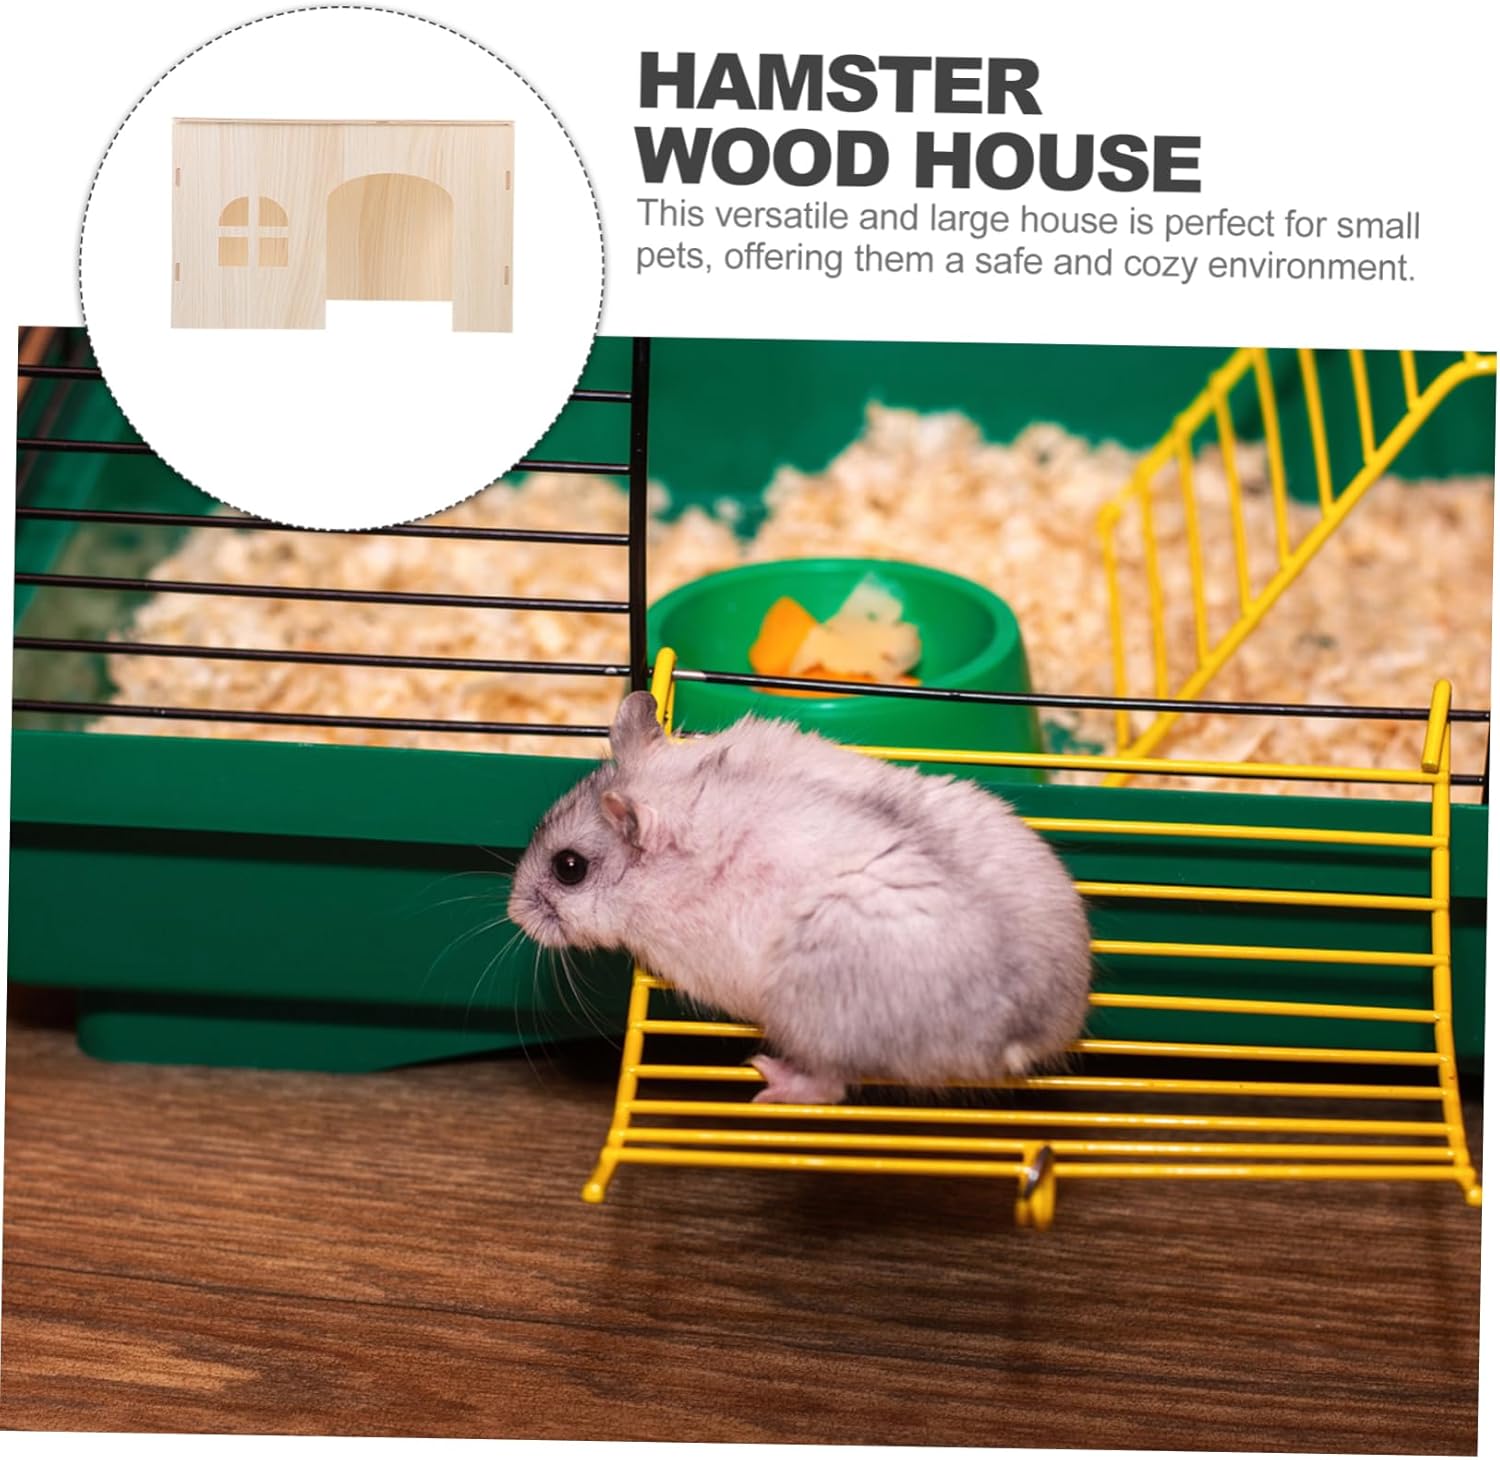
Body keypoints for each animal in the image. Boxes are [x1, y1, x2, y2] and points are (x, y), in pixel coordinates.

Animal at [507, 691, 1093, 1105]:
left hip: (817, 1018)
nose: (512, 913)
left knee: (831, 1087)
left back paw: (767, 1077)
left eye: (569, 869)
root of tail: (1039, 1027)